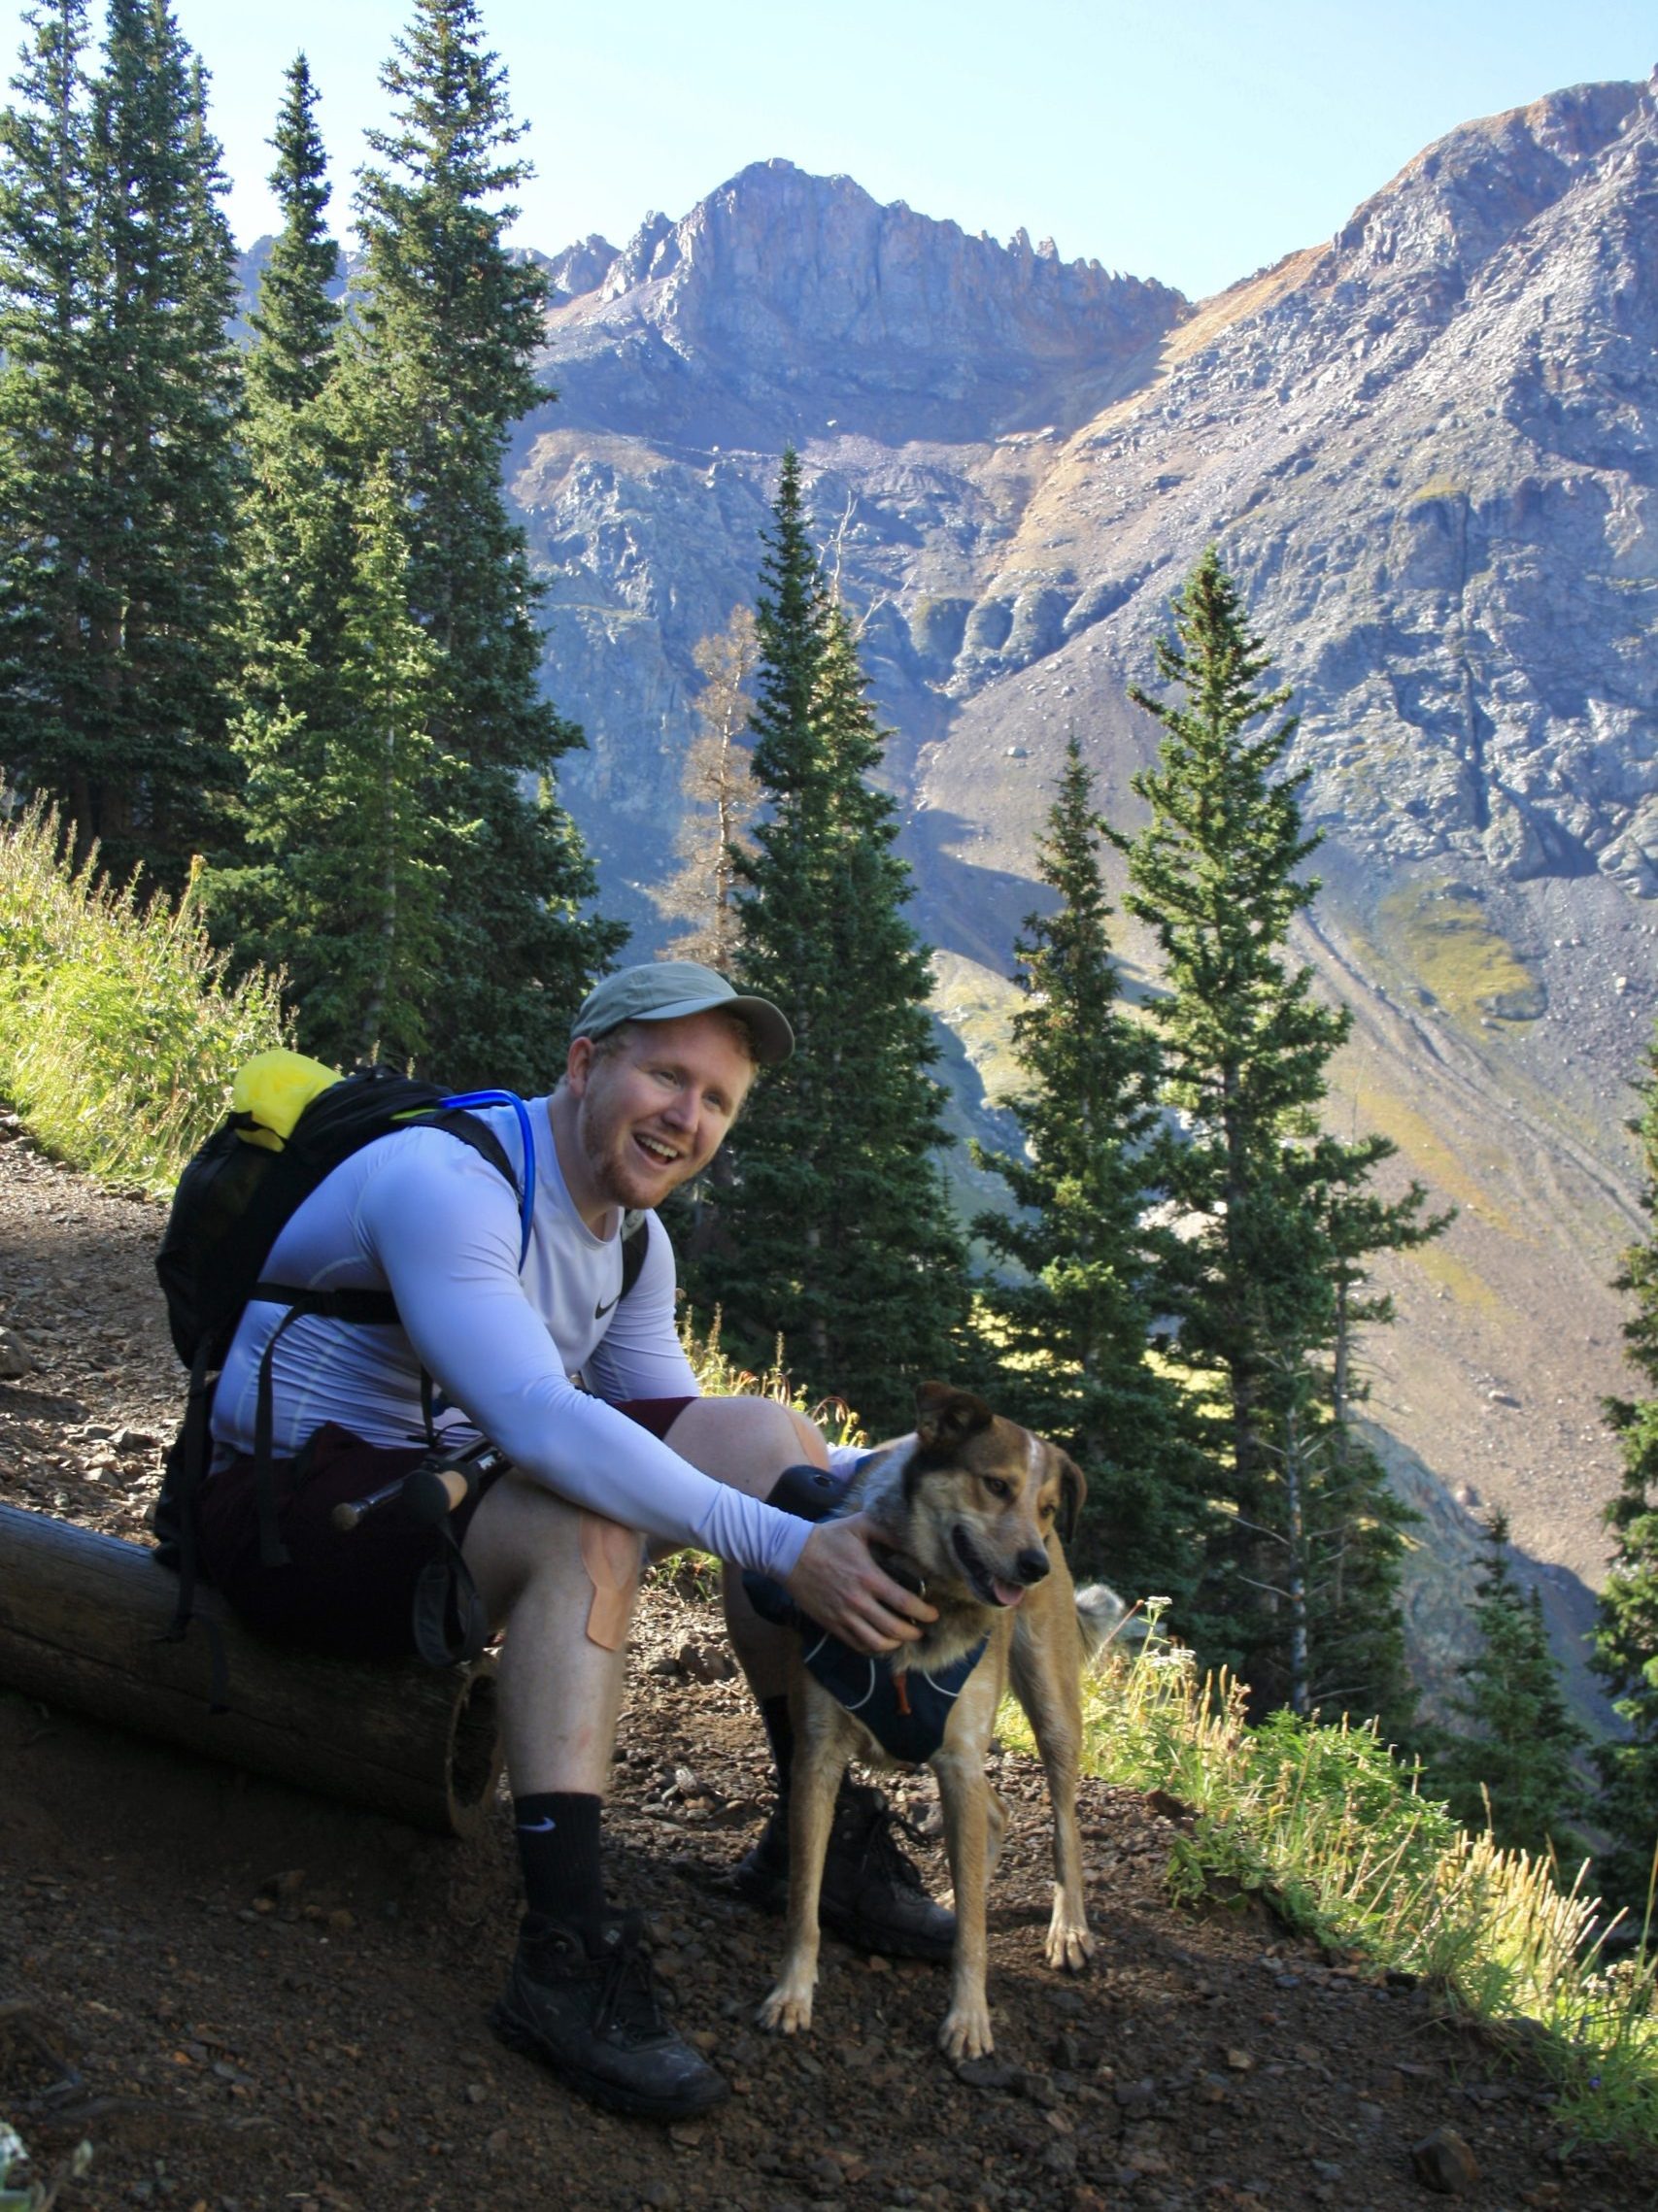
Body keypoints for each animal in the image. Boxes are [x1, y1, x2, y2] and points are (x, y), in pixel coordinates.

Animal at [757, 1380, 1120, 2052]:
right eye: (996, 1485)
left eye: (1047, 1506)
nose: (1035, 1566)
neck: (923, 1596)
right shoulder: (818, 1756)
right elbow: (804, 1899)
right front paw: (792, 1992)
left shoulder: (957, 1761)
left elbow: (975, 1934)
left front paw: (969, 2017)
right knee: (997, 1813)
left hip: (1051, 1709)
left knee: (1063, 1824)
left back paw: (1068, 1928)